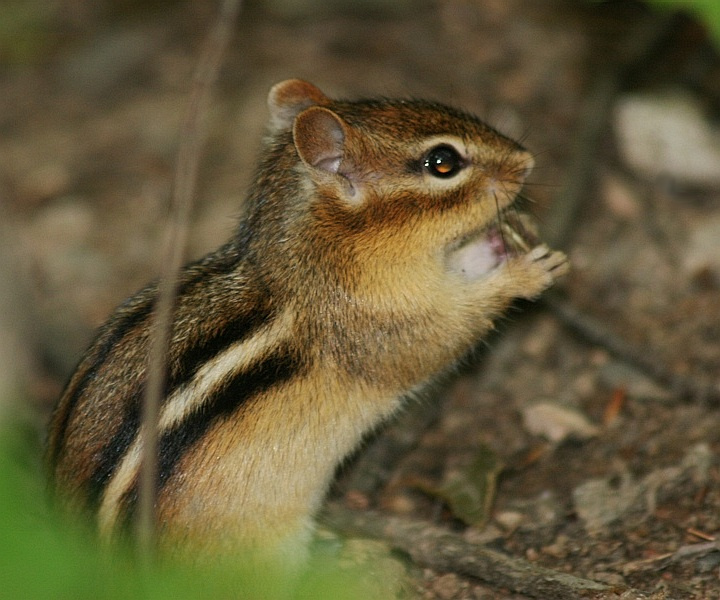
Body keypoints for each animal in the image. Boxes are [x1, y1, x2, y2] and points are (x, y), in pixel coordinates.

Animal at [46, 79, 568, 568]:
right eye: (442, 162)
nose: (527, 161)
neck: (309, 258)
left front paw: (506, 240)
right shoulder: (386, 325)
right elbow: (447, 334)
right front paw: (525, 273)